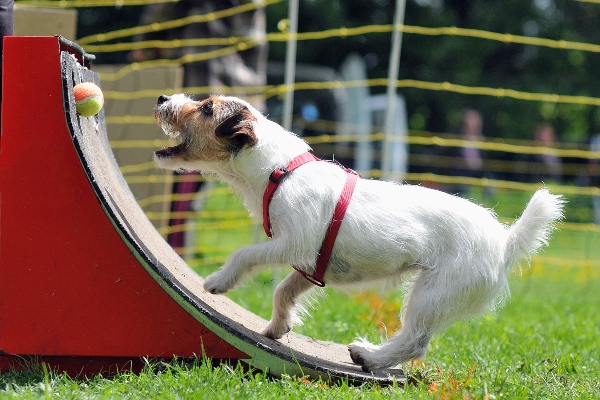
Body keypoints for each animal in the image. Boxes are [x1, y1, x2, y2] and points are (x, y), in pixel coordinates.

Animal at [152, 94, 564, 372]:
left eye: (206, 108)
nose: (162, 99)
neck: (279, 171)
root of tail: (506, 241)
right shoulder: (309, 264)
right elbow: (284, 291)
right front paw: (277, 327)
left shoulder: (292, 243)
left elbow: (245, 254)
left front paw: (218, 282)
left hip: (433, 293)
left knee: (415, 342)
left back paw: (369, 356)